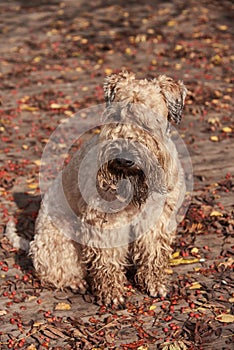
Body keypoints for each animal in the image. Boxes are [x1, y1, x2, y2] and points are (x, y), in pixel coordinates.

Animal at [29, 72, 186, 306]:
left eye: (147, 120)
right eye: (116, 115)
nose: (123, 159)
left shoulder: (157, 219)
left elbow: (153, 253)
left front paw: (155, 283)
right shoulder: (107, 221)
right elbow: (107, 259)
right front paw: (112, 293)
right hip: (55, 240)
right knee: (56, 270)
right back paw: (76, 282)